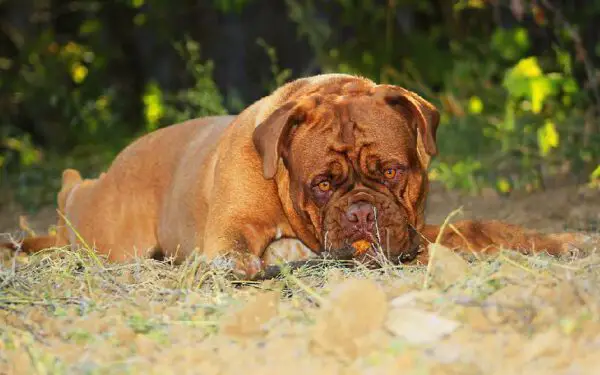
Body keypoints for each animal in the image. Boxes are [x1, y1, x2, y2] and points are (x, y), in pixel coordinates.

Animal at [1, 74, 592, 280]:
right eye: (323, 184)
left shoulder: (421, 229)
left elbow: (492, 230)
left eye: (392, 171)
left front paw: (570, 241)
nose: (361, 211)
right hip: (104, 231)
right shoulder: (228, 237)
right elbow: (241, 255)